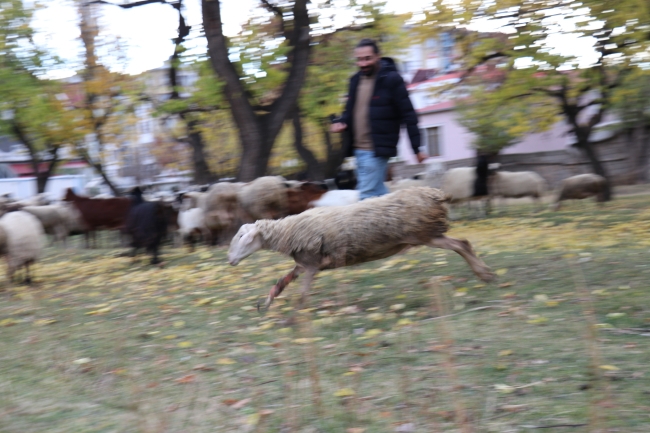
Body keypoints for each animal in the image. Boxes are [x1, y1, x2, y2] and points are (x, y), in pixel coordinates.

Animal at [228, 187, 492, 308]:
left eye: (241, 236)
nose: (230, 261)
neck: (288, 231)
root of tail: (435, 194)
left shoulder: (312, 266)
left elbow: (302, 294)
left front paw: (295, 318)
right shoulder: (304, 264)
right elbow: (281, 283)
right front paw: (266, 303)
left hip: (425, 234)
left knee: (461, 244)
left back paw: (484, 274)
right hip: (427, 234)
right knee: (463, 244)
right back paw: (485, 274)